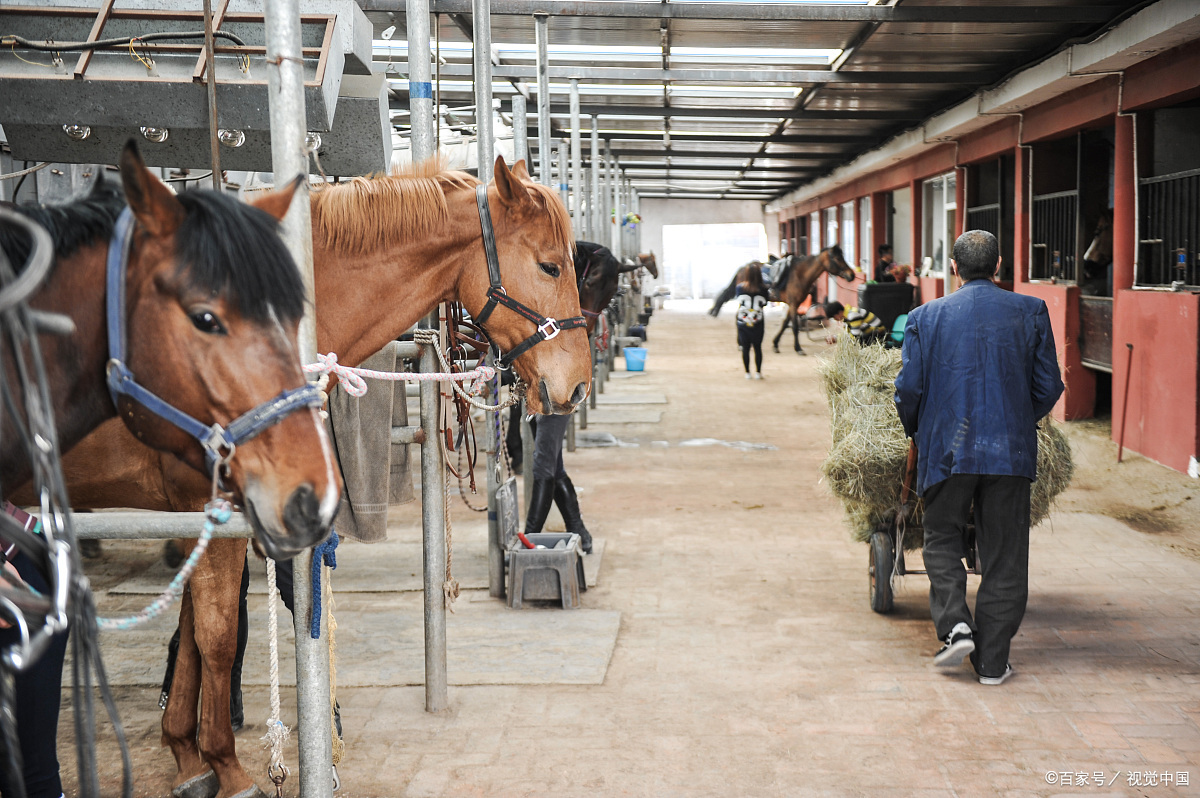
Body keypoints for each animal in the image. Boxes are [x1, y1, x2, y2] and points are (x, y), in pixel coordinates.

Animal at [50, 153, 590, 796]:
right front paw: (229, 768)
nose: (578, 385)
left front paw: (186, 754)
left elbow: (193, 631)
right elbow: (216, 636)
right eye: (549, 265)